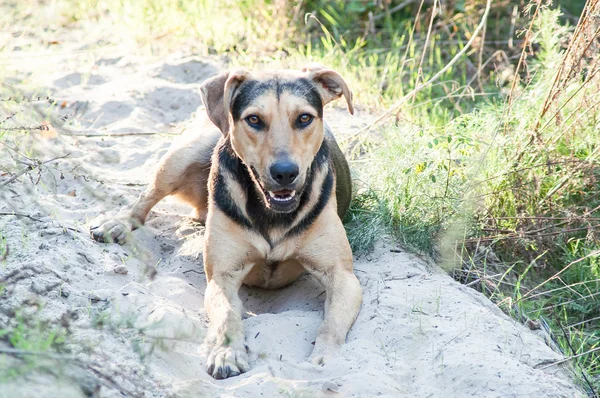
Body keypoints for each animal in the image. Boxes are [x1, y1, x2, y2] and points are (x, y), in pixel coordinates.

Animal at [89, 64, 360, 380]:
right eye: (254, 119)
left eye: (304, 118)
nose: (285, 172)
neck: (273, 212)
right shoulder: (222, 277)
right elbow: (228, 315)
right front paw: (226, 353)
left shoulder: (343, 277)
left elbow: (331, 325)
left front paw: (325, 360)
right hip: (184, 155)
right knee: (146, 196)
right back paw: (117, 223)